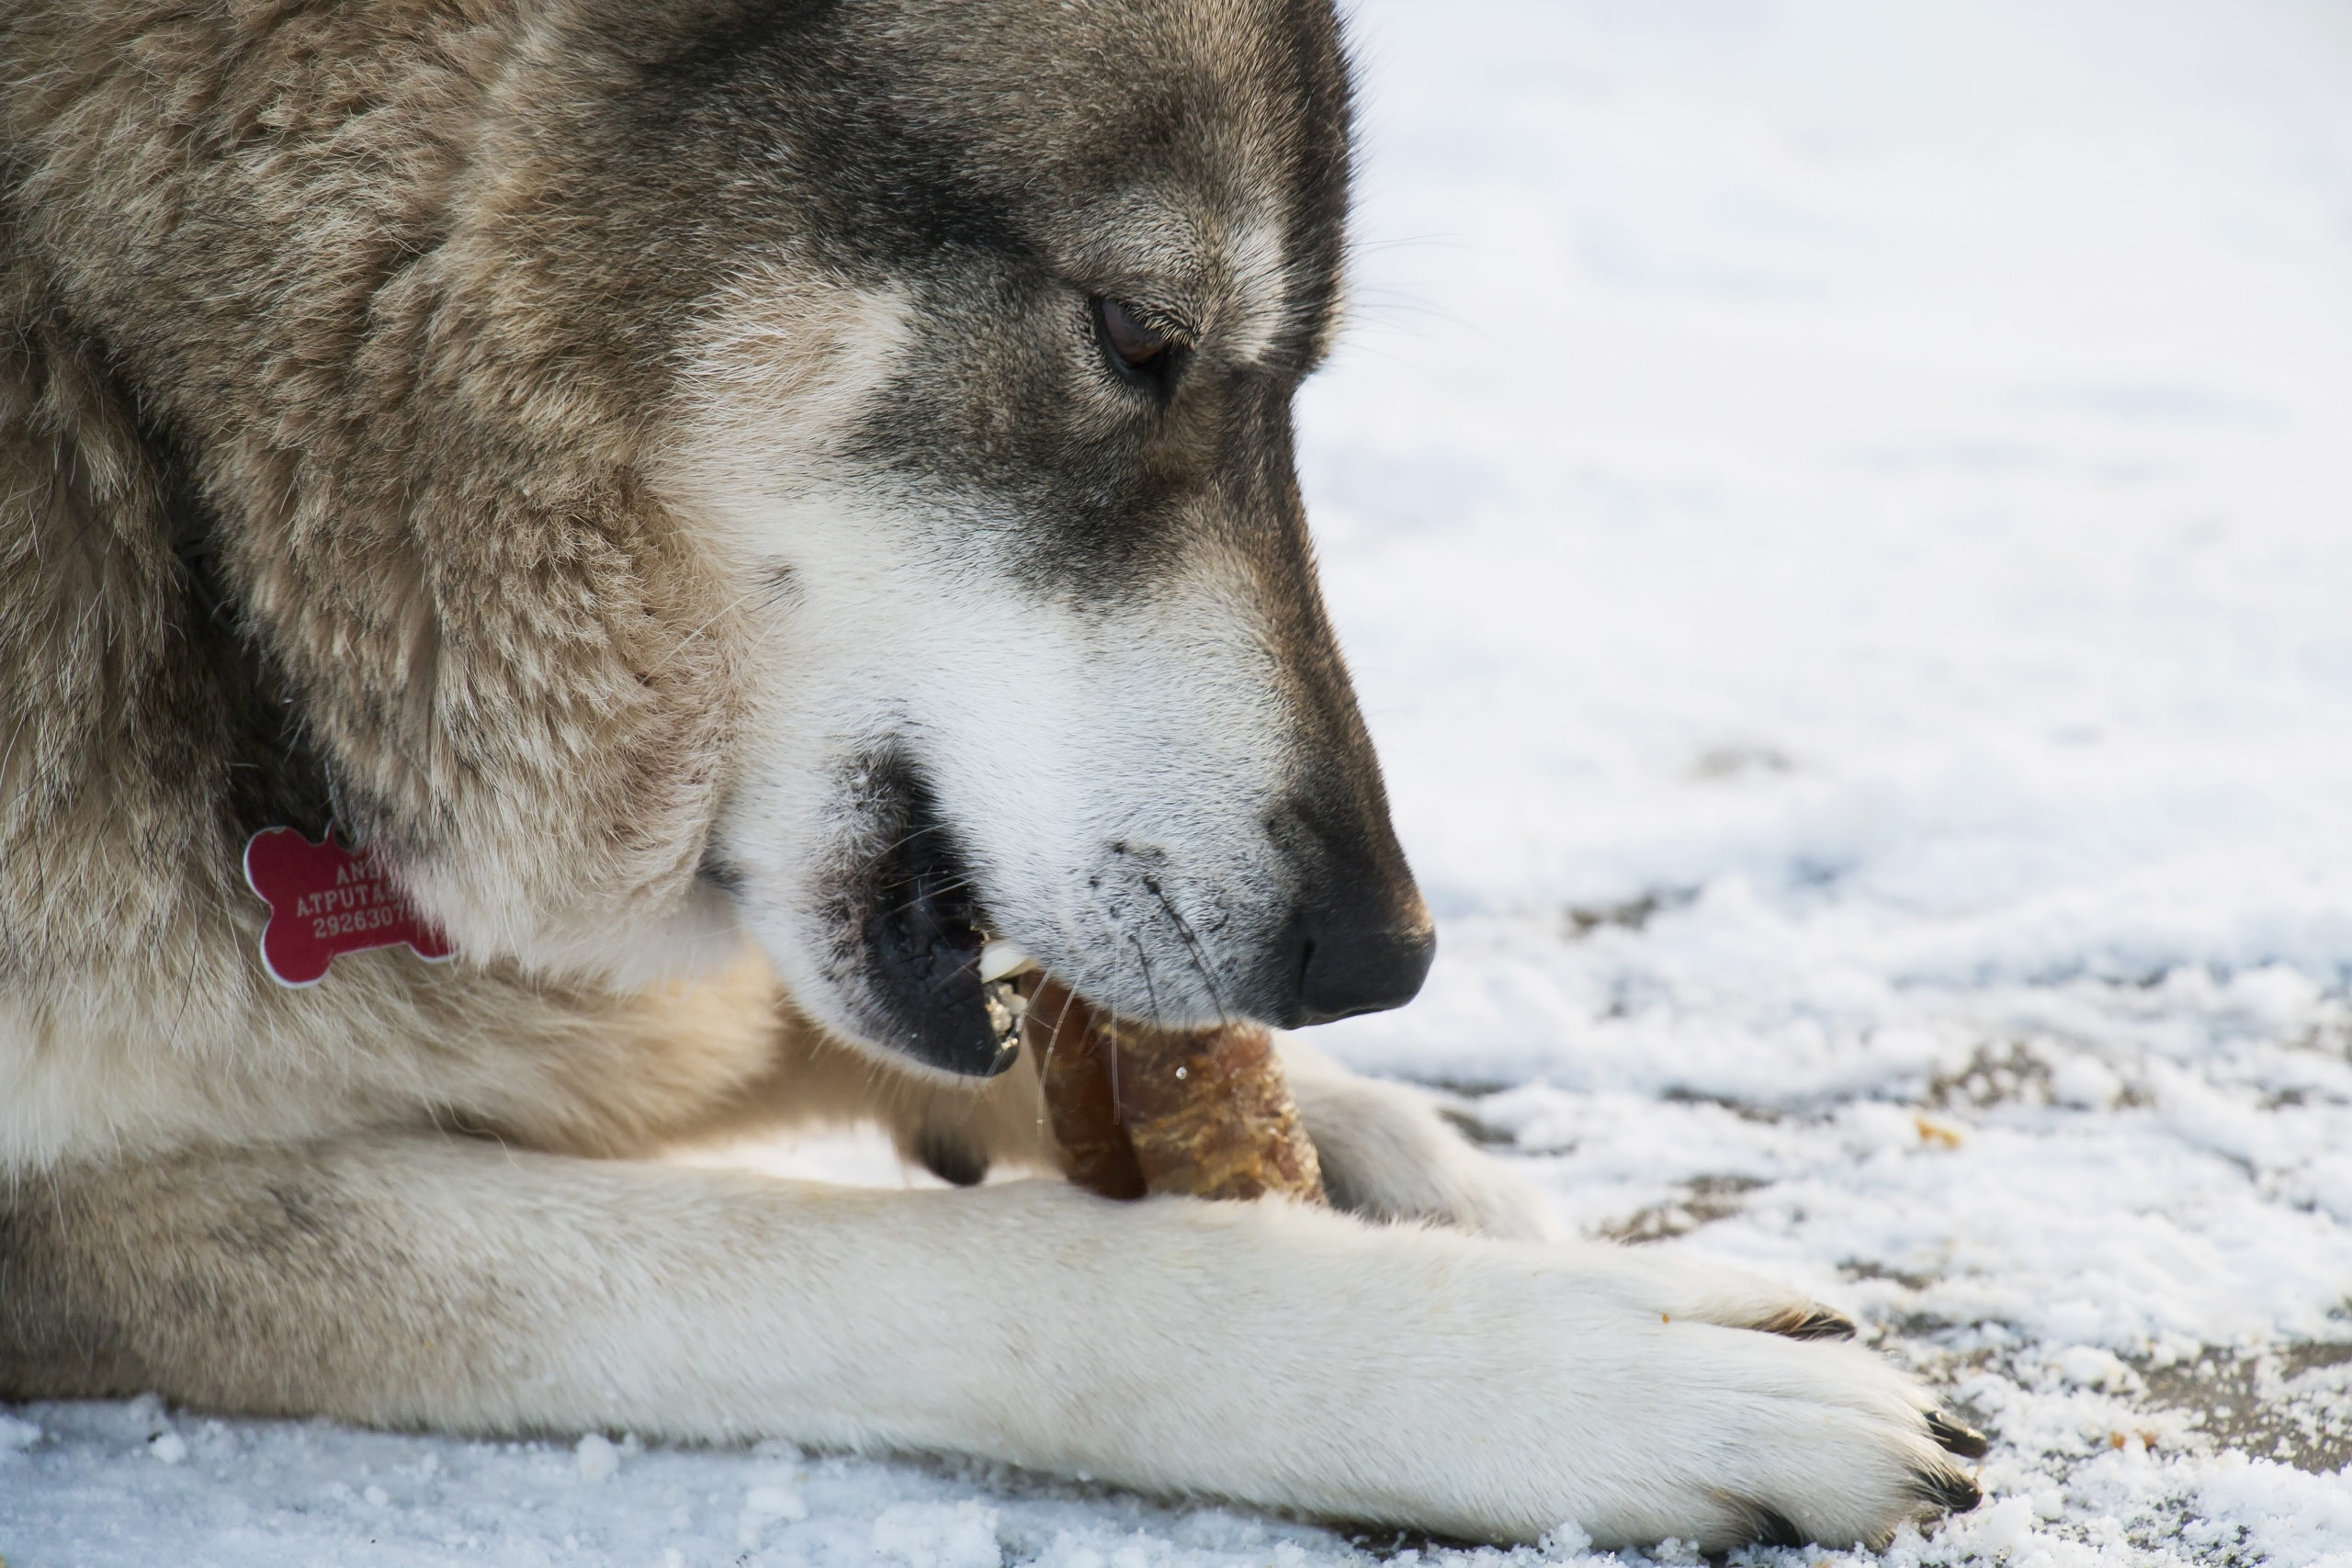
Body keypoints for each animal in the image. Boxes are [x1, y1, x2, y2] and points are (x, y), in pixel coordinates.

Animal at [0, 0, 1984, 1541]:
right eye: (1139, 336)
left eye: (1296, 387)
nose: (1382, 957)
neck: (161, 472)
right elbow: (888, 1260)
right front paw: (1563, 1352)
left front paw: (1418, 1159)